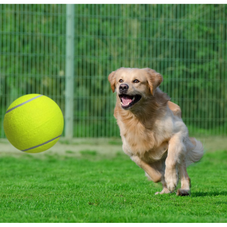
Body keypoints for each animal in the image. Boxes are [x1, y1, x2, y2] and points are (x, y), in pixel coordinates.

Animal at [108, 67, 204, 195]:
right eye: (120, 80)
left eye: (136, 81)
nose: (123, 87)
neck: (139, 117)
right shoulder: (132, 152)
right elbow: (154, 175)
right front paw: (166, 181)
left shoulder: (178, 133)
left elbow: (170, 160)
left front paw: (171, 180)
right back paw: (165, 190)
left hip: (182, 148)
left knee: (182, 170)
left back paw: (184, 189)